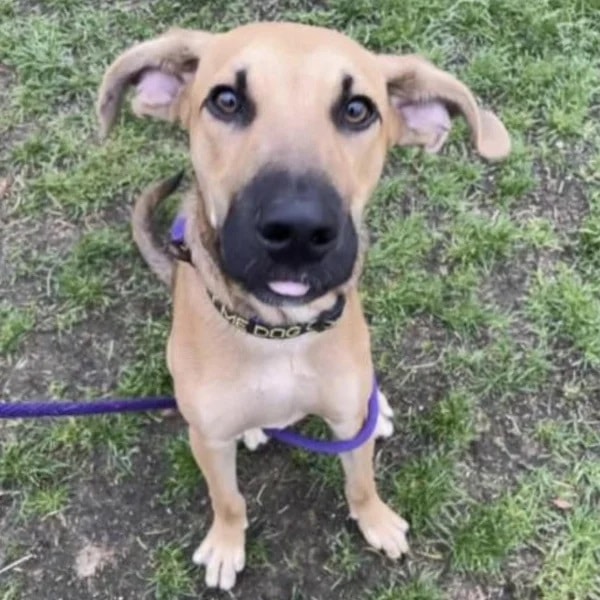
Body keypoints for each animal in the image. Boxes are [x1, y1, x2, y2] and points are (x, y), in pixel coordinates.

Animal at [97, 21, 506, 588]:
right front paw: (226, 544)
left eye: (357, 110)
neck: (280, 333)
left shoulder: (346, 422)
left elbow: (361, 481)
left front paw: (376, 520)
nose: (297, 230)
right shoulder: (208, 438)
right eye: (225, 100)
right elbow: (228, 499)